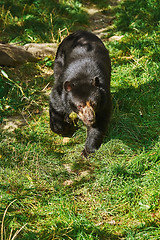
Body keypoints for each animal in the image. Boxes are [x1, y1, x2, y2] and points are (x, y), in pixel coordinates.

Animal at [49, 30, 111, 158]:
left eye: (94, 104)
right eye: (79, 105)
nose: (90, 119)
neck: (83, 78)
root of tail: (81, 31)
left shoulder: (104, 99)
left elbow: (100, 122)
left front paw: (87, 151)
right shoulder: (61, 91)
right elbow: (55, 103)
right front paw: (63, 128)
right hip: (59, 60)